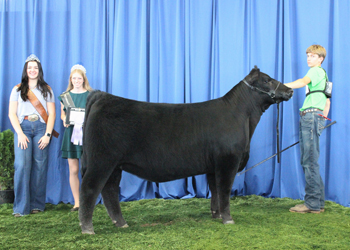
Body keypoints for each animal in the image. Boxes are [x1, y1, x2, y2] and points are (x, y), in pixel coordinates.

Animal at [79, 65, 292, 233]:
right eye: (267, 80)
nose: (289, 89)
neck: (243, 118)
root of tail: (102, 96)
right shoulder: (228, 160)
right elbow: (224, 190)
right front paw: (228, 219)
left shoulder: (213, 166)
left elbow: (215, 190)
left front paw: (216, 215)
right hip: (101, 160)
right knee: (89, 188)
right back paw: (87, 228)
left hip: (115, 165)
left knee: (110, 191)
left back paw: (121, 223)